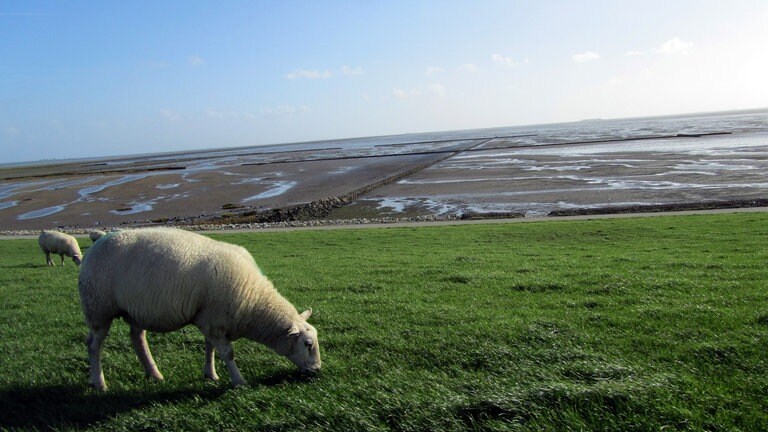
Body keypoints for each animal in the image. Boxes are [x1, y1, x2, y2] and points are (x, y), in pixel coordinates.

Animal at [77, 227, 321, 391]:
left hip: (136, 310)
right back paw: (99, 383)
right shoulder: (214, 322)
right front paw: (239, 381)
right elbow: (227, 353)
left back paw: (154, 374)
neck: (253, 301)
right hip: (98, 307)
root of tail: (100, 237)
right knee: (93, 345)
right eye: (308, 344)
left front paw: (211, 374)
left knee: (137, 339)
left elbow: (209, 348)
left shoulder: (211, 320)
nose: (317, 370)